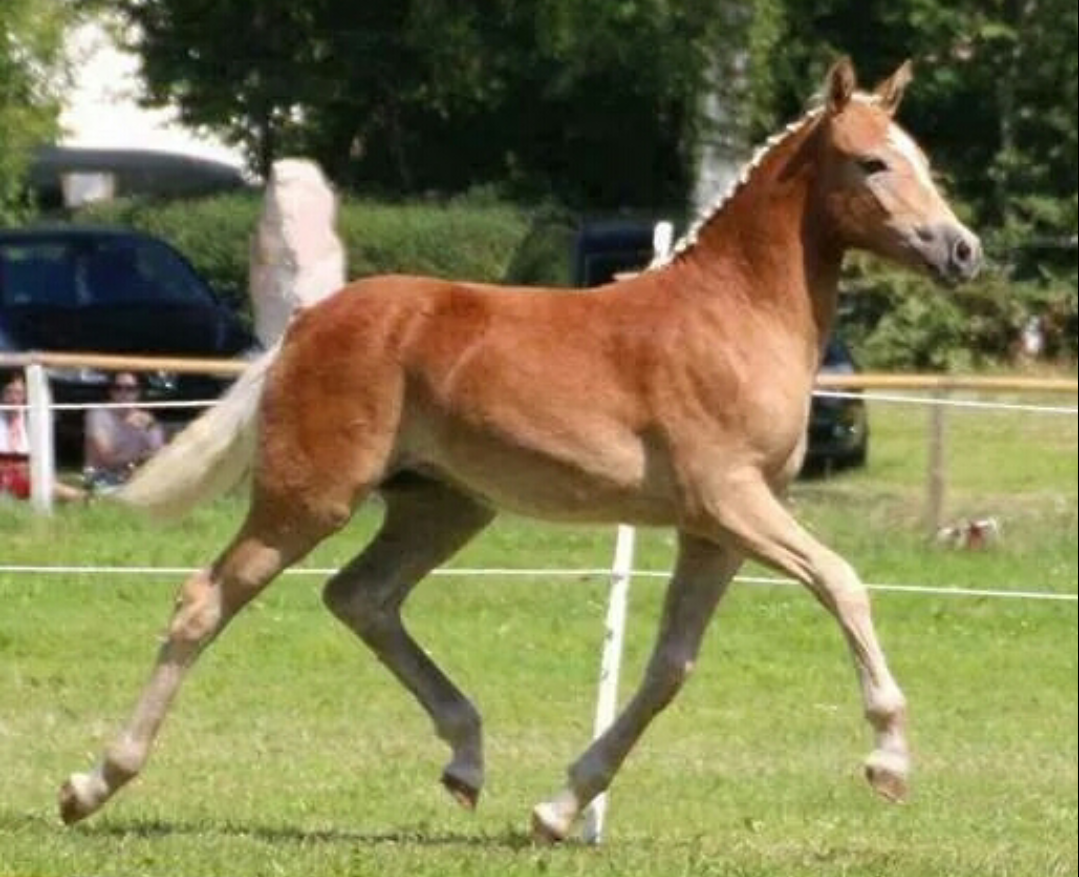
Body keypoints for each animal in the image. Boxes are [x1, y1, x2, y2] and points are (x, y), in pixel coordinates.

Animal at [59, 57, 981, 841]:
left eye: (922, 158)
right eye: (871, 163)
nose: (961, 249)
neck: (734, 315)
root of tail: (304, 324)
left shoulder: (713, 528)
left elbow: (668, 666)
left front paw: (558, 808)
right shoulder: (731, 500)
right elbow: (841, 581)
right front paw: (888, 760)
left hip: (442, 504)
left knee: (360, 596)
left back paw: (466, 760)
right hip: (308, 495)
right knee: (205, 600)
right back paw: (90, 783)